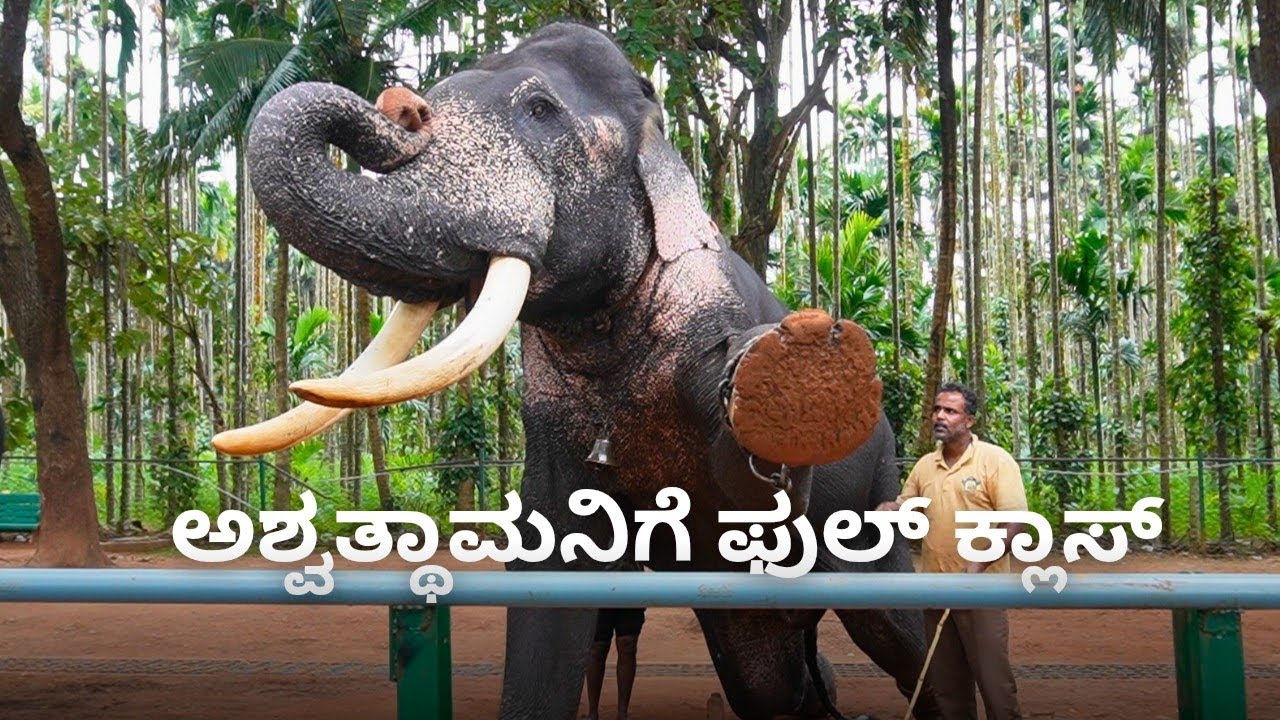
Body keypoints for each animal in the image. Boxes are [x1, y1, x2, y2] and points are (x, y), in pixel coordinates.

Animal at [214, 21, 941, 720]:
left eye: (539, 109)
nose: (400, 106)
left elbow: (759, 503)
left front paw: (788, 374)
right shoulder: (547, 413)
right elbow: (549, 573)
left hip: (878, 484)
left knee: (896, 631)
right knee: (768, 685)